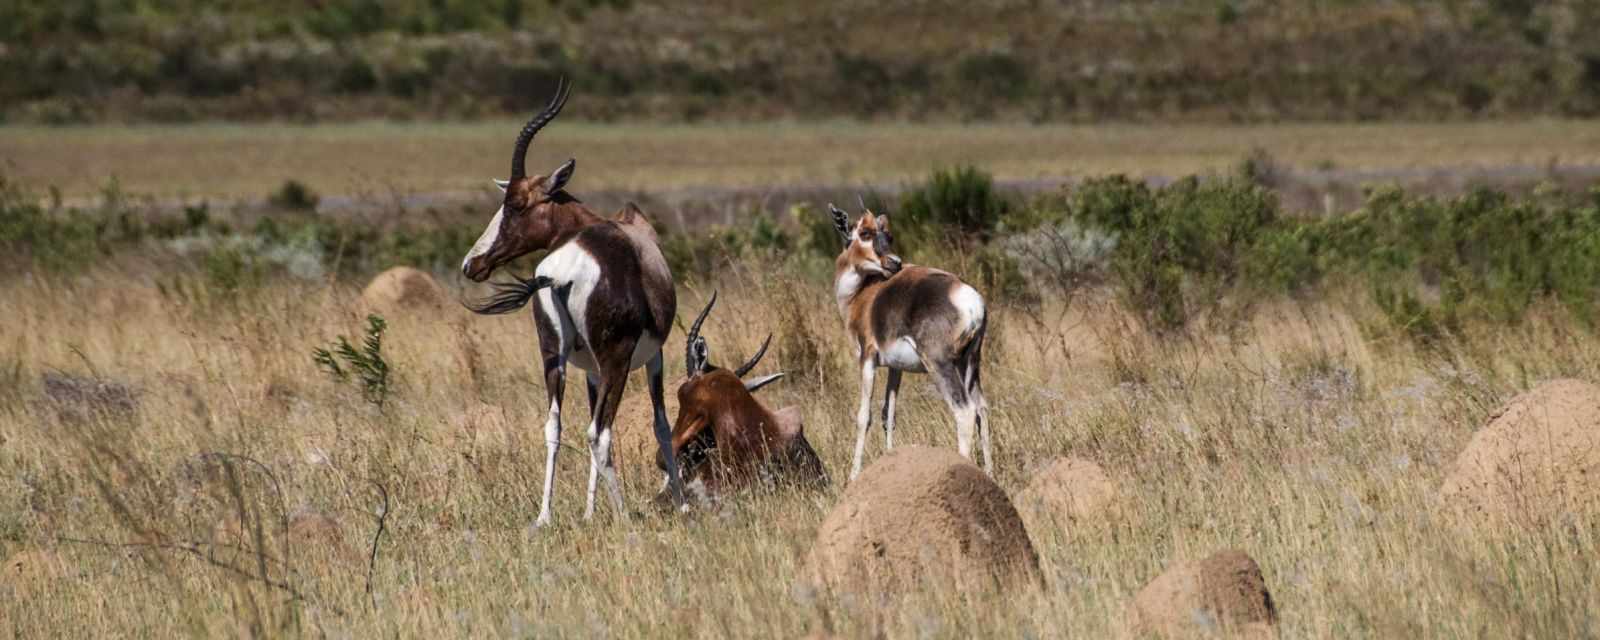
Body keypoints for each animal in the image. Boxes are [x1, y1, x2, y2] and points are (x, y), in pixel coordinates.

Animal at [464, 77, 688, 524]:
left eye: (516, 204)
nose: (472, 263)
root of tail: (560, 271)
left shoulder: (589, 368)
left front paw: (586, 511)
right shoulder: (651, 356)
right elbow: (660, 424)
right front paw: (682, 502)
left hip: (554, 354)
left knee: (555, 427)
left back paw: (543, 518)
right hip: (616, 359)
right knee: (598, 433)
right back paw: (624, 518)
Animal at [825, 204, 985, 480]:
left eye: (887, 235)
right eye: (865, 232)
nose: (895, 263)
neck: (863, 296)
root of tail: (969, 298)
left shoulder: (867, 360)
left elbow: (864, 416)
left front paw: (854, 476)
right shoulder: (895, 367)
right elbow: (888, 415)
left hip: (940, 366)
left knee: (965, 411)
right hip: (970, 366)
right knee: (982, 409)